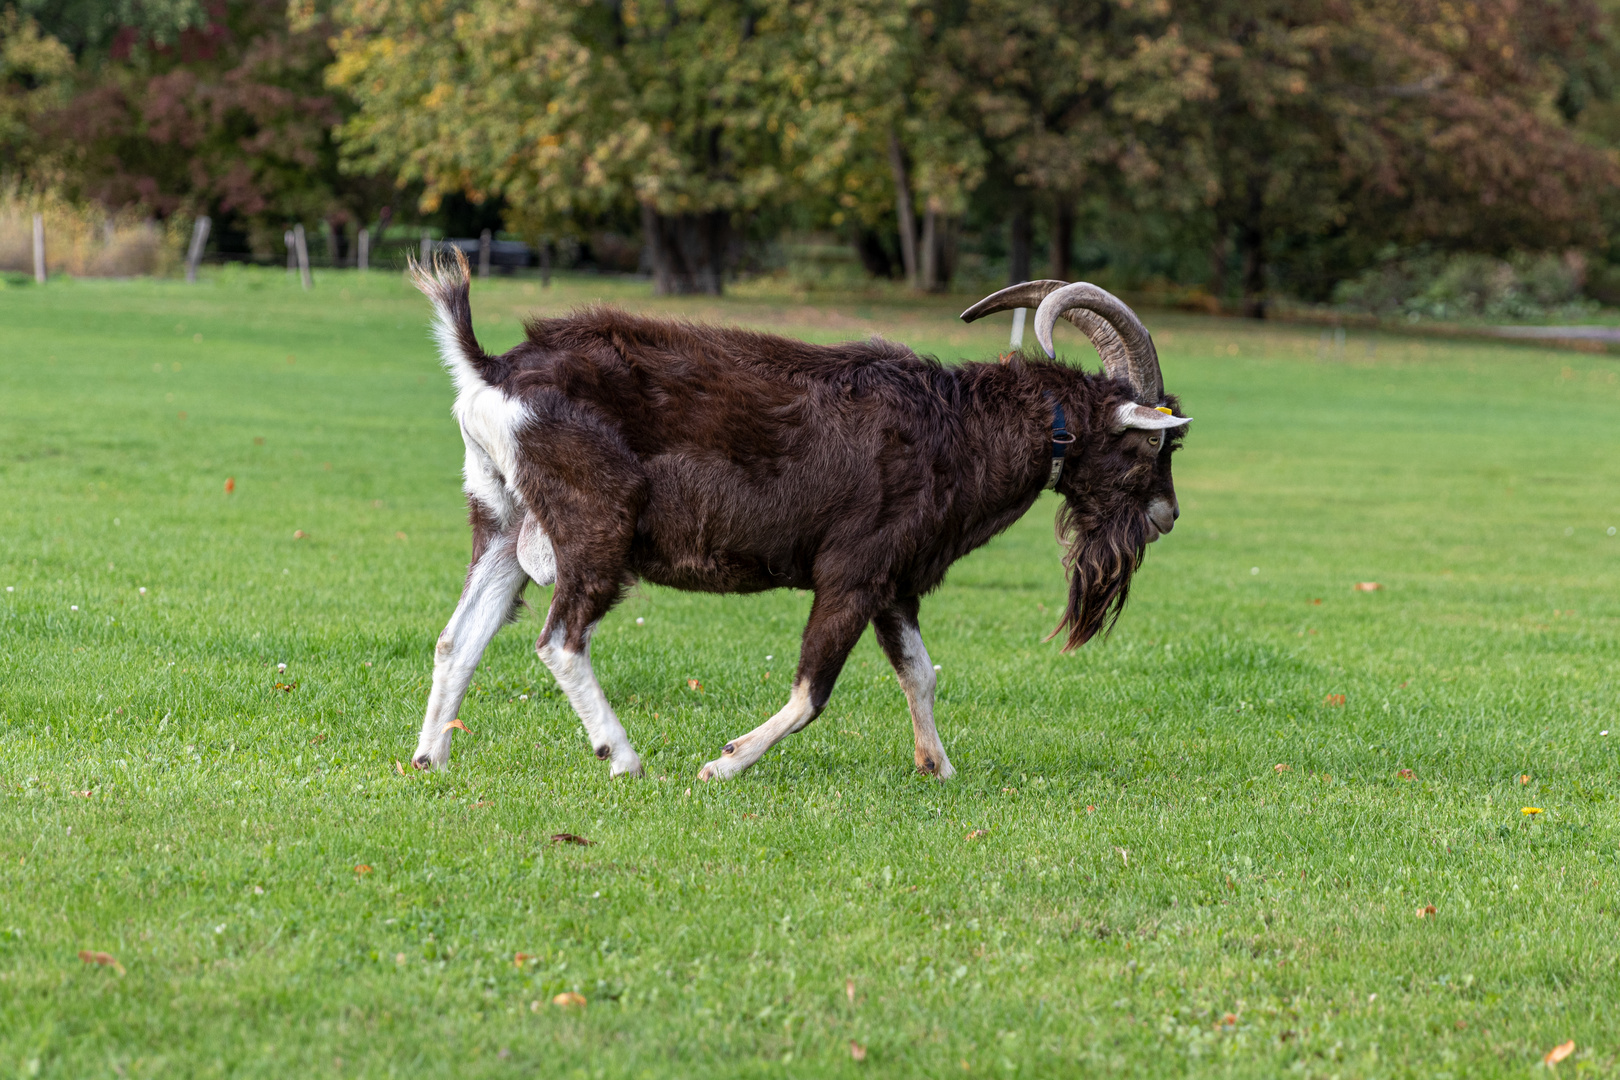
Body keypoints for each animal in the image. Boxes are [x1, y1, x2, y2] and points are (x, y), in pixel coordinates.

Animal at [405, 257, 1192, 786]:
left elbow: (921, 673)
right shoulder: (851, 572)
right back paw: (623, 758)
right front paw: (724, 763)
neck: (958, 427)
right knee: (562, 639)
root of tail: (491, 370)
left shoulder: (894, 582)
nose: (1167, 515)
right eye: (1150, 446)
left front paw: (938, 767)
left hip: (500, 520)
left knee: (458, 638)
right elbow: (814, 689)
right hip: (596, 521)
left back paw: (429, 758)